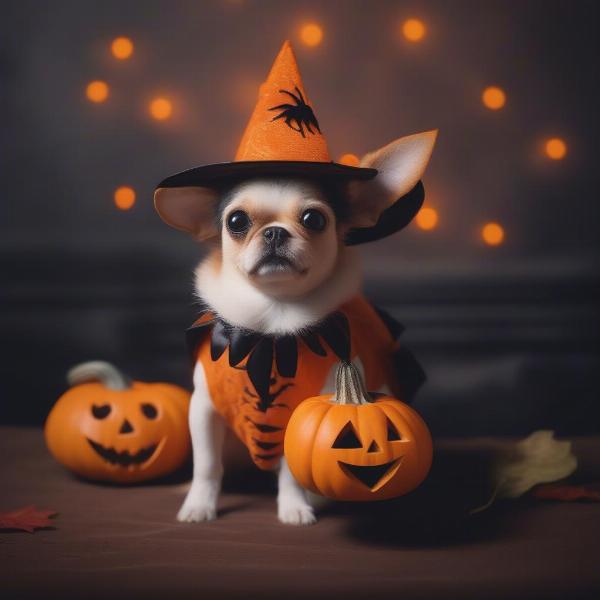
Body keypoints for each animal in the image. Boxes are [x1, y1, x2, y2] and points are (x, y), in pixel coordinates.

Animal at [154, 129, 436, 524]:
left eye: (314, 219)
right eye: (236, 221)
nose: (274, 232)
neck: (273, 322)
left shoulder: (301, 416)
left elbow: (291, 468)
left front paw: (293, 507)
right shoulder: (204, 410)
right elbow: (207, 466)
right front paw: (199, 505)